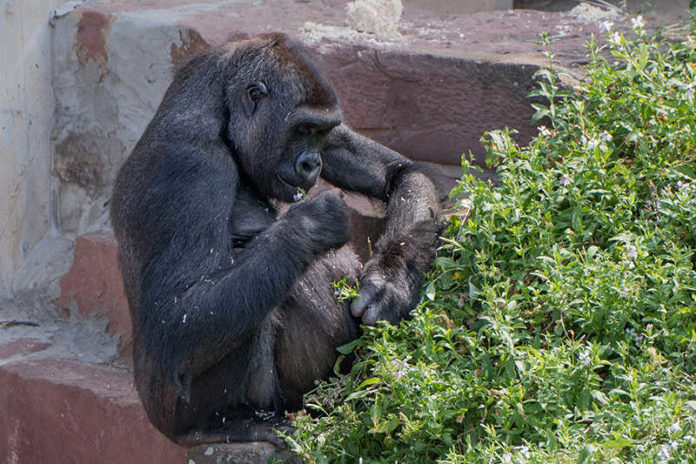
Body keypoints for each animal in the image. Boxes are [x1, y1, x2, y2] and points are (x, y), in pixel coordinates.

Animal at [113, 33, 440, 446]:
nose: (312, 163)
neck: (221, 110)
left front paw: (390, 282)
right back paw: (223, 424)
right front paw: (311, 225)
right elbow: (178, 317)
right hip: (170, 418)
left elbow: (400, 172)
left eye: (319, 132)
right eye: (300, 130)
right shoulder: (191, 165)